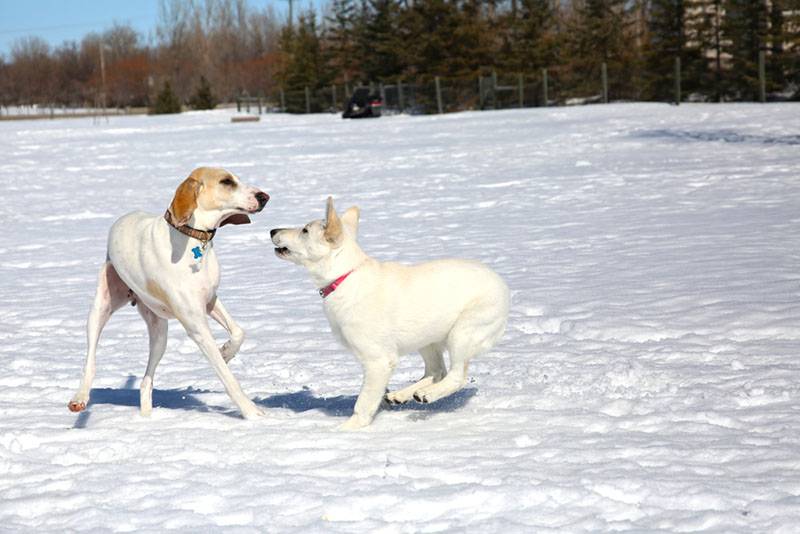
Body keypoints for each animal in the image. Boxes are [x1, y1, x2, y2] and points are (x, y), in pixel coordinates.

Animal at [69, 170, 268, 420]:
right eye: (226, 182)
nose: (264, 197)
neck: (192, 239)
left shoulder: (209, 301)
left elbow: (239, 332)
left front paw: (226, 352)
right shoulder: (196, 326)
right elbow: (227, 377)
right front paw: (252, 413)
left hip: (159, 334)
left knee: (145, 382)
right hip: (100, 309)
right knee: (91, 361)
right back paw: (79, 398)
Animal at [268, 198, 506, 432]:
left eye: (305, 230)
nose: (272, 230)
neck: (344, 276)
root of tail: (503, 285)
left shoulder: (378, 361)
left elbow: (363, 402)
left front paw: (347, 429)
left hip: (462, 333)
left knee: (457, 376)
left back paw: (427, 394)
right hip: (427, 339)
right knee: (437, 371)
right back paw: (404, 394)